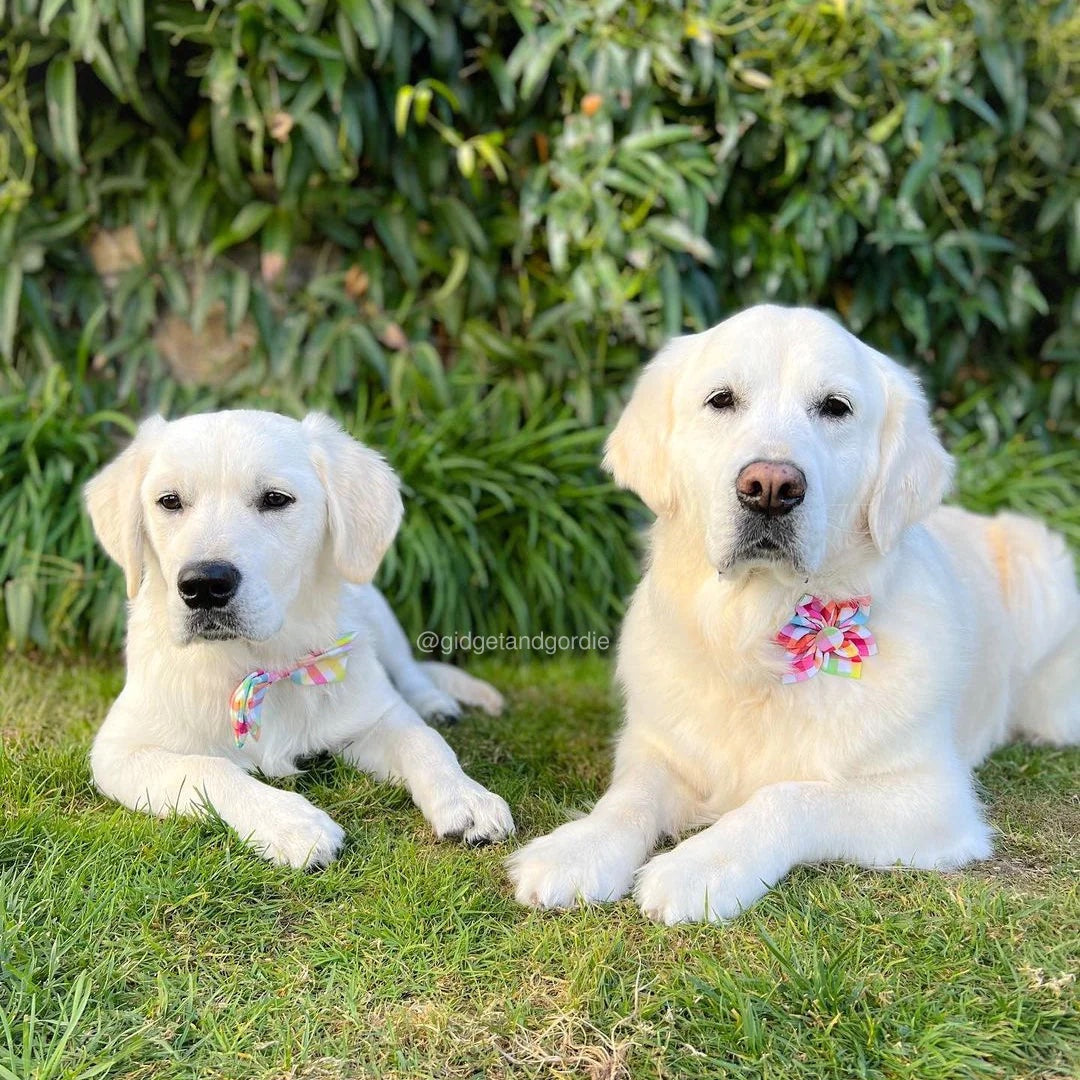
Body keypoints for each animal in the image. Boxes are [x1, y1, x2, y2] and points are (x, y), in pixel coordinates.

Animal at [84, 406, 514, 868]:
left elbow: (424, 741)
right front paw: (292, 823)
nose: (204, 585)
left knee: (410, 673)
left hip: (377, 609)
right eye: (169, 501)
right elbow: (206, 768)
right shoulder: (118, 751)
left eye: (275, 499)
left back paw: (436, 703)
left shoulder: (372, 716)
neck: (258, 665)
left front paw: (467, 797)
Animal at [507, 302, 1080, 920]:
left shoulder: (934, 798)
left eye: (835, 407)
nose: (770, 488)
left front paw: (698, 867)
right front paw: (579, 849)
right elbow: (629, 796)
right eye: (722, 399)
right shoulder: (656, 745)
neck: (756, 632)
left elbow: (791, 797)